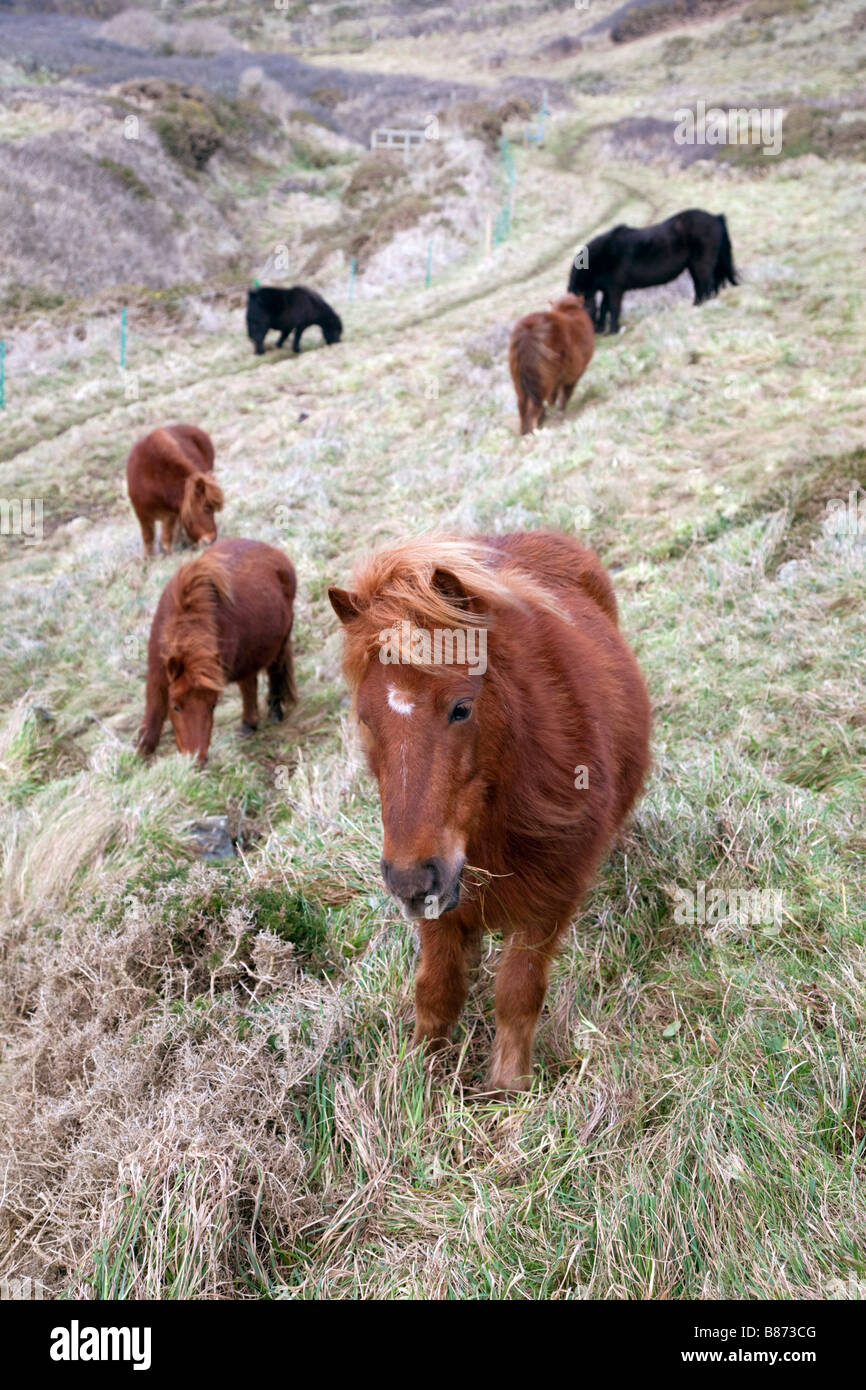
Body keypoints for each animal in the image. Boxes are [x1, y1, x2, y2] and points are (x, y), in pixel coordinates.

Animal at [127, 419, 225, 556]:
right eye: (206, 508)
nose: (212, 539)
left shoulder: (170, 515)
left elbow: (166, 539)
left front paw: (168, 555)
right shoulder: (142, 514)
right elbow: (148, 537)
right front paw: (148, 558)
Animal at [136, 536, 296, 767]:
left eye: (213, 706)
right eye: (175, 707)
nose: (197, 761)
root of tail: (275, 553)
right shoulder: (158, 672)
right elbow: (154, 708)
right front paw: (142, 751)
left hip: (278, 643)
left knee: (272, 673)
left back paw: (270, 713)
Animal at [330, 530, 650, 1095]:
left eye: (462, 708)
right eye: (365, 720)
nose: (409, 880)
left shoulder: (550, 899)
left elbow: (518, 992)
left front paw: (508, 1088)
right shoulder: (439, 903)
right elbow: (437, 990)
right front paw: (420, 1073)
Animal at [508, 296, 594, 436]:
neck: (567, 309)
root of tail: (528, 331)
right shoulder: (573, 373)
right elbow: (564, 393)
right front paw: (559, 410)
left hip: (519, 380)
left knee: (522, 406)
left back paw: (525, 430)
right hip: (543, 379)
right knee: (534, 408)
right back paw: (535, 430)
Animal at [569, 208, 739, 333]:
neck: (602, 257)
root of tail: (715, 217)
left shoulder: (614, 289)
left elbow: (613, 308)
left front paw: (612, 331)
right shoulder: (607, 289)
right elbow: (605, 307)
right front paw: (603, 329)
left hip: (702, 264)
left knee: (706, 285)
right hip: (694, 266)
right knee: (700, 287)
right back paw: (696, 306)